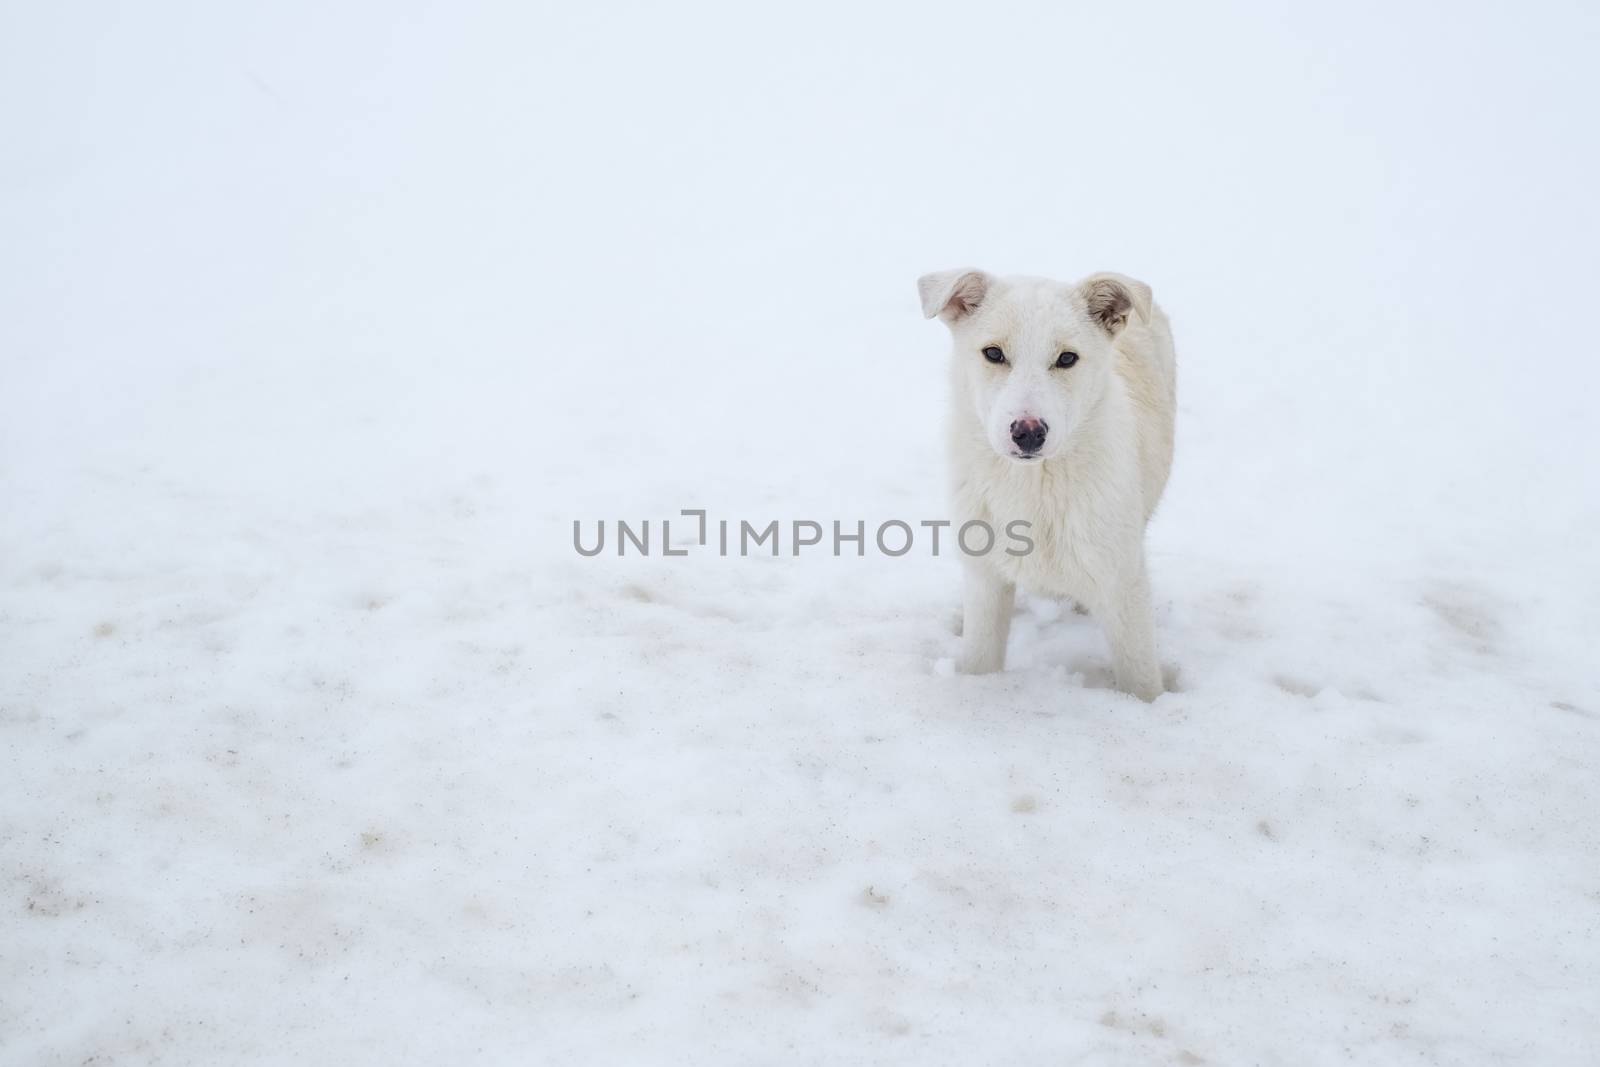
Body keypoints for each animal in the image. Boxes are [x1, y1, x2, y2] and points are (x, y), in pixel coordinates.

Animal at [915, 267, 1177, 700]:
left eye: (1066, 358)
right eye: (994, 354)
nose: (1028, 432)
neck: (1033, 486)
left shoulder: (1123, 584)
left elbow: (1141, 681)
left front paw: (1149, 707)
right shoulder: (986, 580)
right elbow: (980, 661)